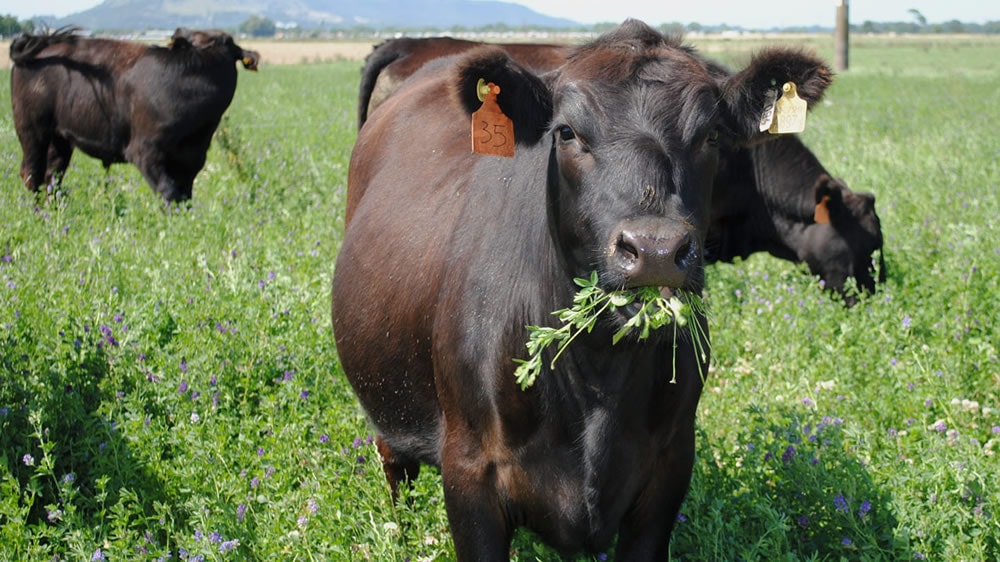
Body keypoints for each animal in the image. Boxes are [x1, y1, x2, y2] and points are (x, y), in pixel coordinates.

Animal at [9, 27, 259, 202]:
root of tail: (42, 43)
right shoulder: (144, 151)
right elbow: (168, 192)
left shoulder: (191, 160)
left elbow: (184, 197)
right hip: (31, 130)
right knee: (32, 174)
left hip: (59, 137)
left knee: (52, 176)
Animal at [332, 20, 832, 560]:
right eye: (567, 132)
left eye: (712, 134)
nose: (655, 249)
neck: (598, 373)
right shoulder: (469, 472)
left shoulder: (669, 468)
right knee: (394, 465)